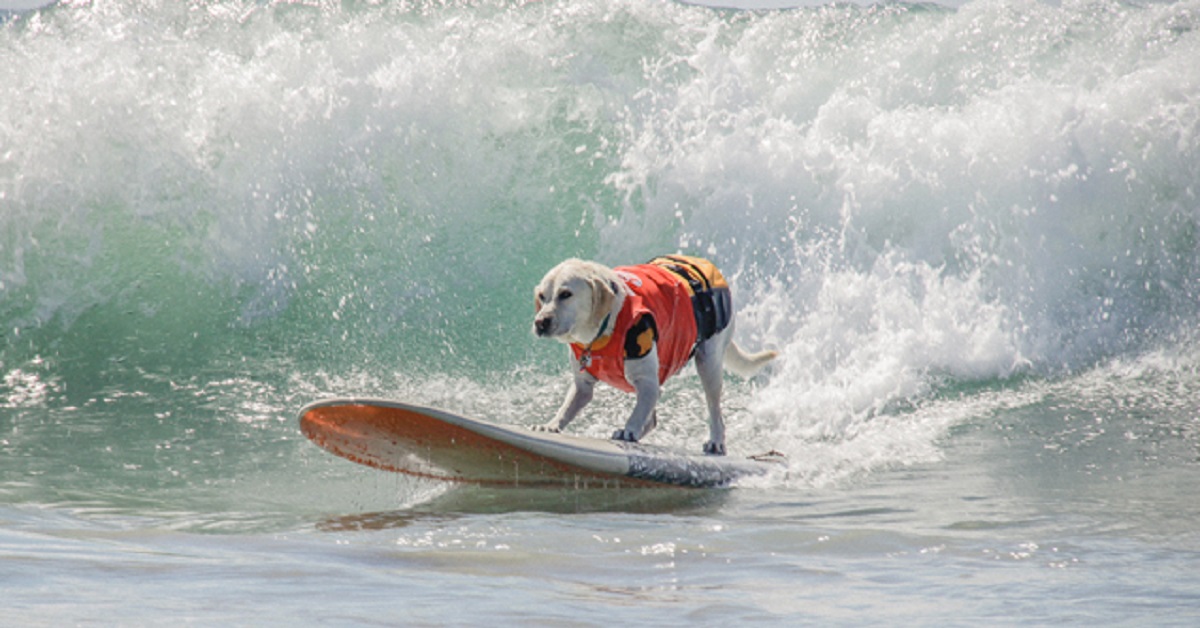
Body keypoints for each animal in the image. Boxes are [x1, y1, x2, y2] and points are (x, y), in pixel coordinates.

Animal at [535, 255, 777, 456]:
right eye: (542, 296)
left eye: (566, 294)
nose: (540, 322)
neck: (602, 331)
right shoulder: (583, 386)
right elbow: (568, 407)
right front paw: (551, 425)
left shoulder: (648, 382)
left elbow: (638, 411)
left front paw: (628, 430)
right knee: (652, 419)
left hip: (709, 362)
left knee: (714, 408)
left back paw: (716, 442)